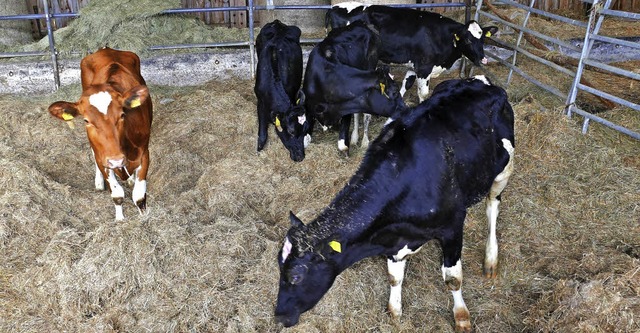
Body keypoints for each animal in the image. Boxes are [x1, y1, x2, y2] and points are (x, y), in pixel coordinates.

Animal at [47, 46, 152, 220]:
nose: (116, 161)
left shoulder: (144, 153)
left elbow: (139, 196)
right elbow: (117, 195)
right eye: (86, 120)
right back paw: (99, 182)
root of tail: (106, 49)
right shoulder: (103, 158)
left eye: (122, 115)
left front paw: (144, 217)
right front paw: (119, 219)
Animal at [252, 19, 310, 162]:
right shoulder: (260, 103)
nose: (300, 157)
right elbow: (262, 134)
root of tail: (277, 23)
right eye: (290, 131)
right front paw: (259, 150)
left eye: (305, 130)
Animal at [276, 74, 516, 330]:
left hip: (503, 171)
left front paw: (461, 316)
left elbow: (453, 279)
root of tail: (479, 80)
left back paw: (491, 258)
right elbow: (394, 277)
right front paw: (394, 311)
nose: (279, 316)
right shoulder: (394, 239)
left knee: (493, 206)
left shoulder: (453, 226)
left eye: (296, 276)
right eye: (279, 267)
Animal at [302, 21, 402, 156]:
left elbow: (342, 143)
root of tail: (363, 23)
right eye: (395, 91)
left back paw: (362, 140)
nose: (405, 108)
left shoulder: (348, 105)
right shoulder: (309, 104)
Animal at [324, 2, 500, 102]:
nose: (483, 59)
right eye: (468, 40)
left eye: (482, 39)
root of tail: (334, 7)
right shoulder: (424, 67)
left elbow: (406, 85)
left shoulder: (414, 67)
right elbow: (424, 93)